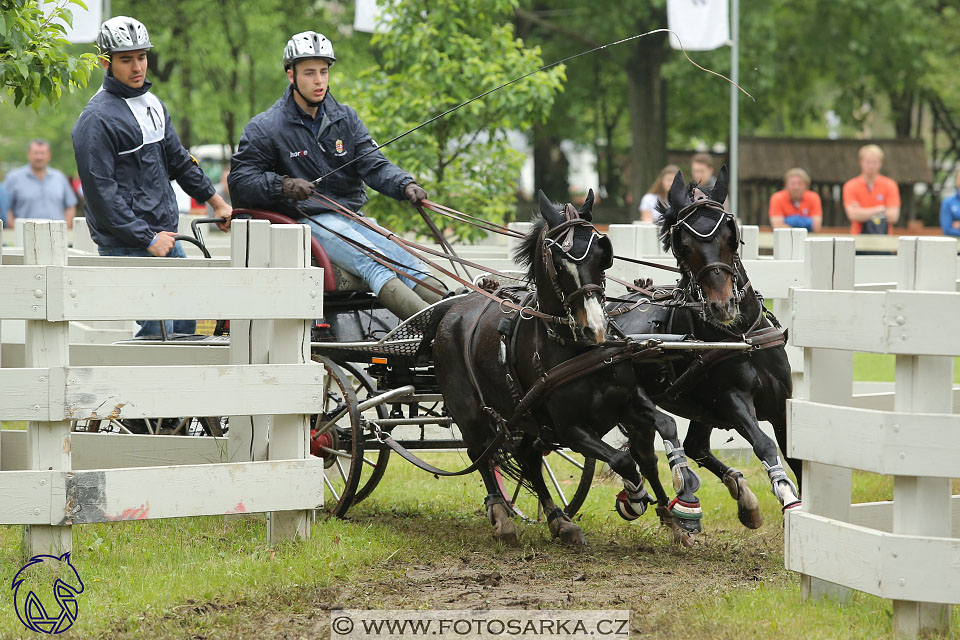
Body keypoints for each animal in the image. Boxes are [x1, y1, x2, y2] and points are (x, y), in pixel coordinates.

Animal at [434, 190, 696, 544]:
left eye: (602, 255)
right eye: (558, 264)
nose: (595, 327)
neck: (577, 349)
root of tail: (452, 309)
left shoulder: (629, 404)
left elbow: (655, 444)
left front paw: (674, 515)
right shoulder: (570, 429)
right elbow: (624, 459)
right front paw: (634, 496)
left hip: (526, 420)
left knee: (528, 459)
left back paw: (559, 519)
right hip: (470, 412)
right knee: (482, 454)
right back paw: (502, 515)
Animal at [608, 166, 804, 528]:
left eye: (730, 235)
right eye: (682, 246)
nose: (721, 306)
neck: (740, 337)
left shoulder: (781, 402)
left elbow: (794, 454)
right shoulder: (733, 399)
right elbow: (764, 444)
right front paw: (786, 494)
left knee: (693, 445)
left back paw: (736, 493)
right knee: (653, 446)